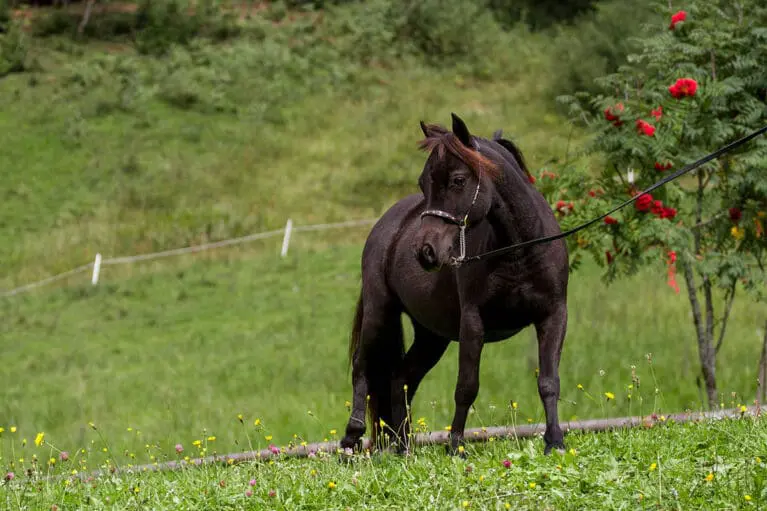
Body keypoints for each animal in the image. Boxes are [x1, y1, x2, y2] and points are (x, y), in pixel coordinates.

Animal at [340, 113, 569, 456]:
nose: (425, 251)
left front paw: (555, 441)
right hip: (379, 313)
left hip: (432, 335)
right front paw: (456, 446)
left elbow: (549, 381)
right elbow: (466, 386)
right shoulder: (473, 321)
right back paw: (351, 439)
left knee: (401, 378)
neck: (519, 250)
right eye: (423, 182)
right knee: (362, 367)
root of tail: (387, 226)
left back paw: (402, 445)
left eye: (458, 180)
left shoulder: (553, 315)